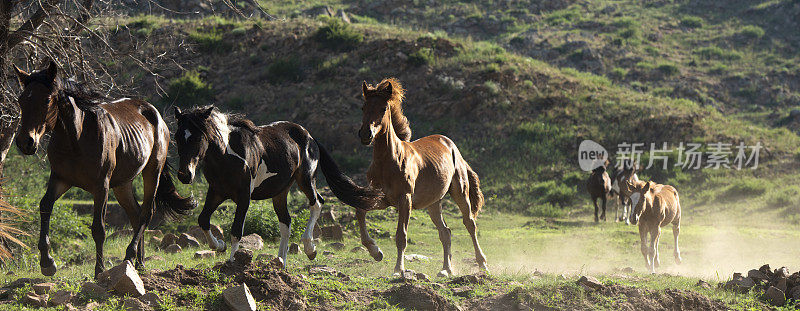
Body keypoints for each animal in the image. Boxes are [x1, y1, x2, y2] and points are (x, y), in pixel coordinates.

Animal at [13, 62, 195, 276]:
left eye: (47, 100)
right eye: (21, 100)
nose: (25, 142)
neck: (77, 138)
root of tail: (155, 114)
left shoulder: (101, 186)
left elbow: (98, 228)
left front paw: (99, 270)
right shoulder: (60, 179)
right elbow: (45, 206)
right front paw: (47, 262)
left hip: (152, 171)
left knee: (146, 213)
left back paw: (130, 256)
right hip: (123, 184)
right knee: (136, 215)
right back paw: (139, 263)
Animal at [173, 106, 380, 264]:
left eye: (197, 137)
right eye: (176, 137)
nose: (184, 175)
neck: (227, 155)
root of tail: (309, 136)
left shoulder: (244, 196)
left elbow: (236, 230)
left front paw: (231, 261)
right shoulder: (217, 191)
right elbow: (203, 220)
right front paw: (219, 246)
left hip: (305, 179)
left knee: (317, 203)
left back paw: (310, 249)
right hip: (280, 192)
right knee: (286, 222)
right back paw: (280, 261)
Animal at [358, 78, 488, 278]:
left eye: (383, 108)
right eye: (363, 107)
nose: (366, 134)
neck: (388, 161)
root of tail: (451, 145)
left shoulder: (405, 199)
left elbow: (401, 235)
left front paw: (398, 269)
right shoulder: (382, 198)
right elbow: (360, 212)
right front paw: (376, 251)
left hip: (460, 192)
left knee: (470, 224)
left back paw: (482, 264)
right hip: (433, 203)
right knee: (445, 232)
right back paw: (446, 269)